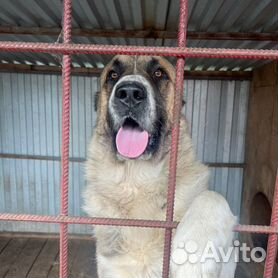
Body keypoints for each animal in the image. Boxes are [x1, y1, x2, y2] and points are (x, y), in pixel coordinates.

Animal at [83, 55, 237, 276]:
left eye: (159, 73)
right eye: (113, 75)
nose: (129, 93)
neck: (136, 182)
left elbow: (213, 196)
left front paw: (194, 251)